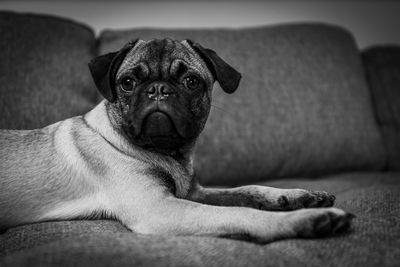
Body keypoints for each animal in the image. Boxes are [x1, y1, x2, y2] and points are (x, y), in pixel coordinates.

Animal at [0, 39, 354, 243]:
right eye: (127, 82)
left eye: (191, 81)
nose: (159, 89)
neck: (166, 154)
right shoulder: (160, 208)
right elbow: (242, 213)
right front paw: (305, 220)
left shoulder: (193, 193)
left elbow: (248, 190)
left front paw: (298, 197)